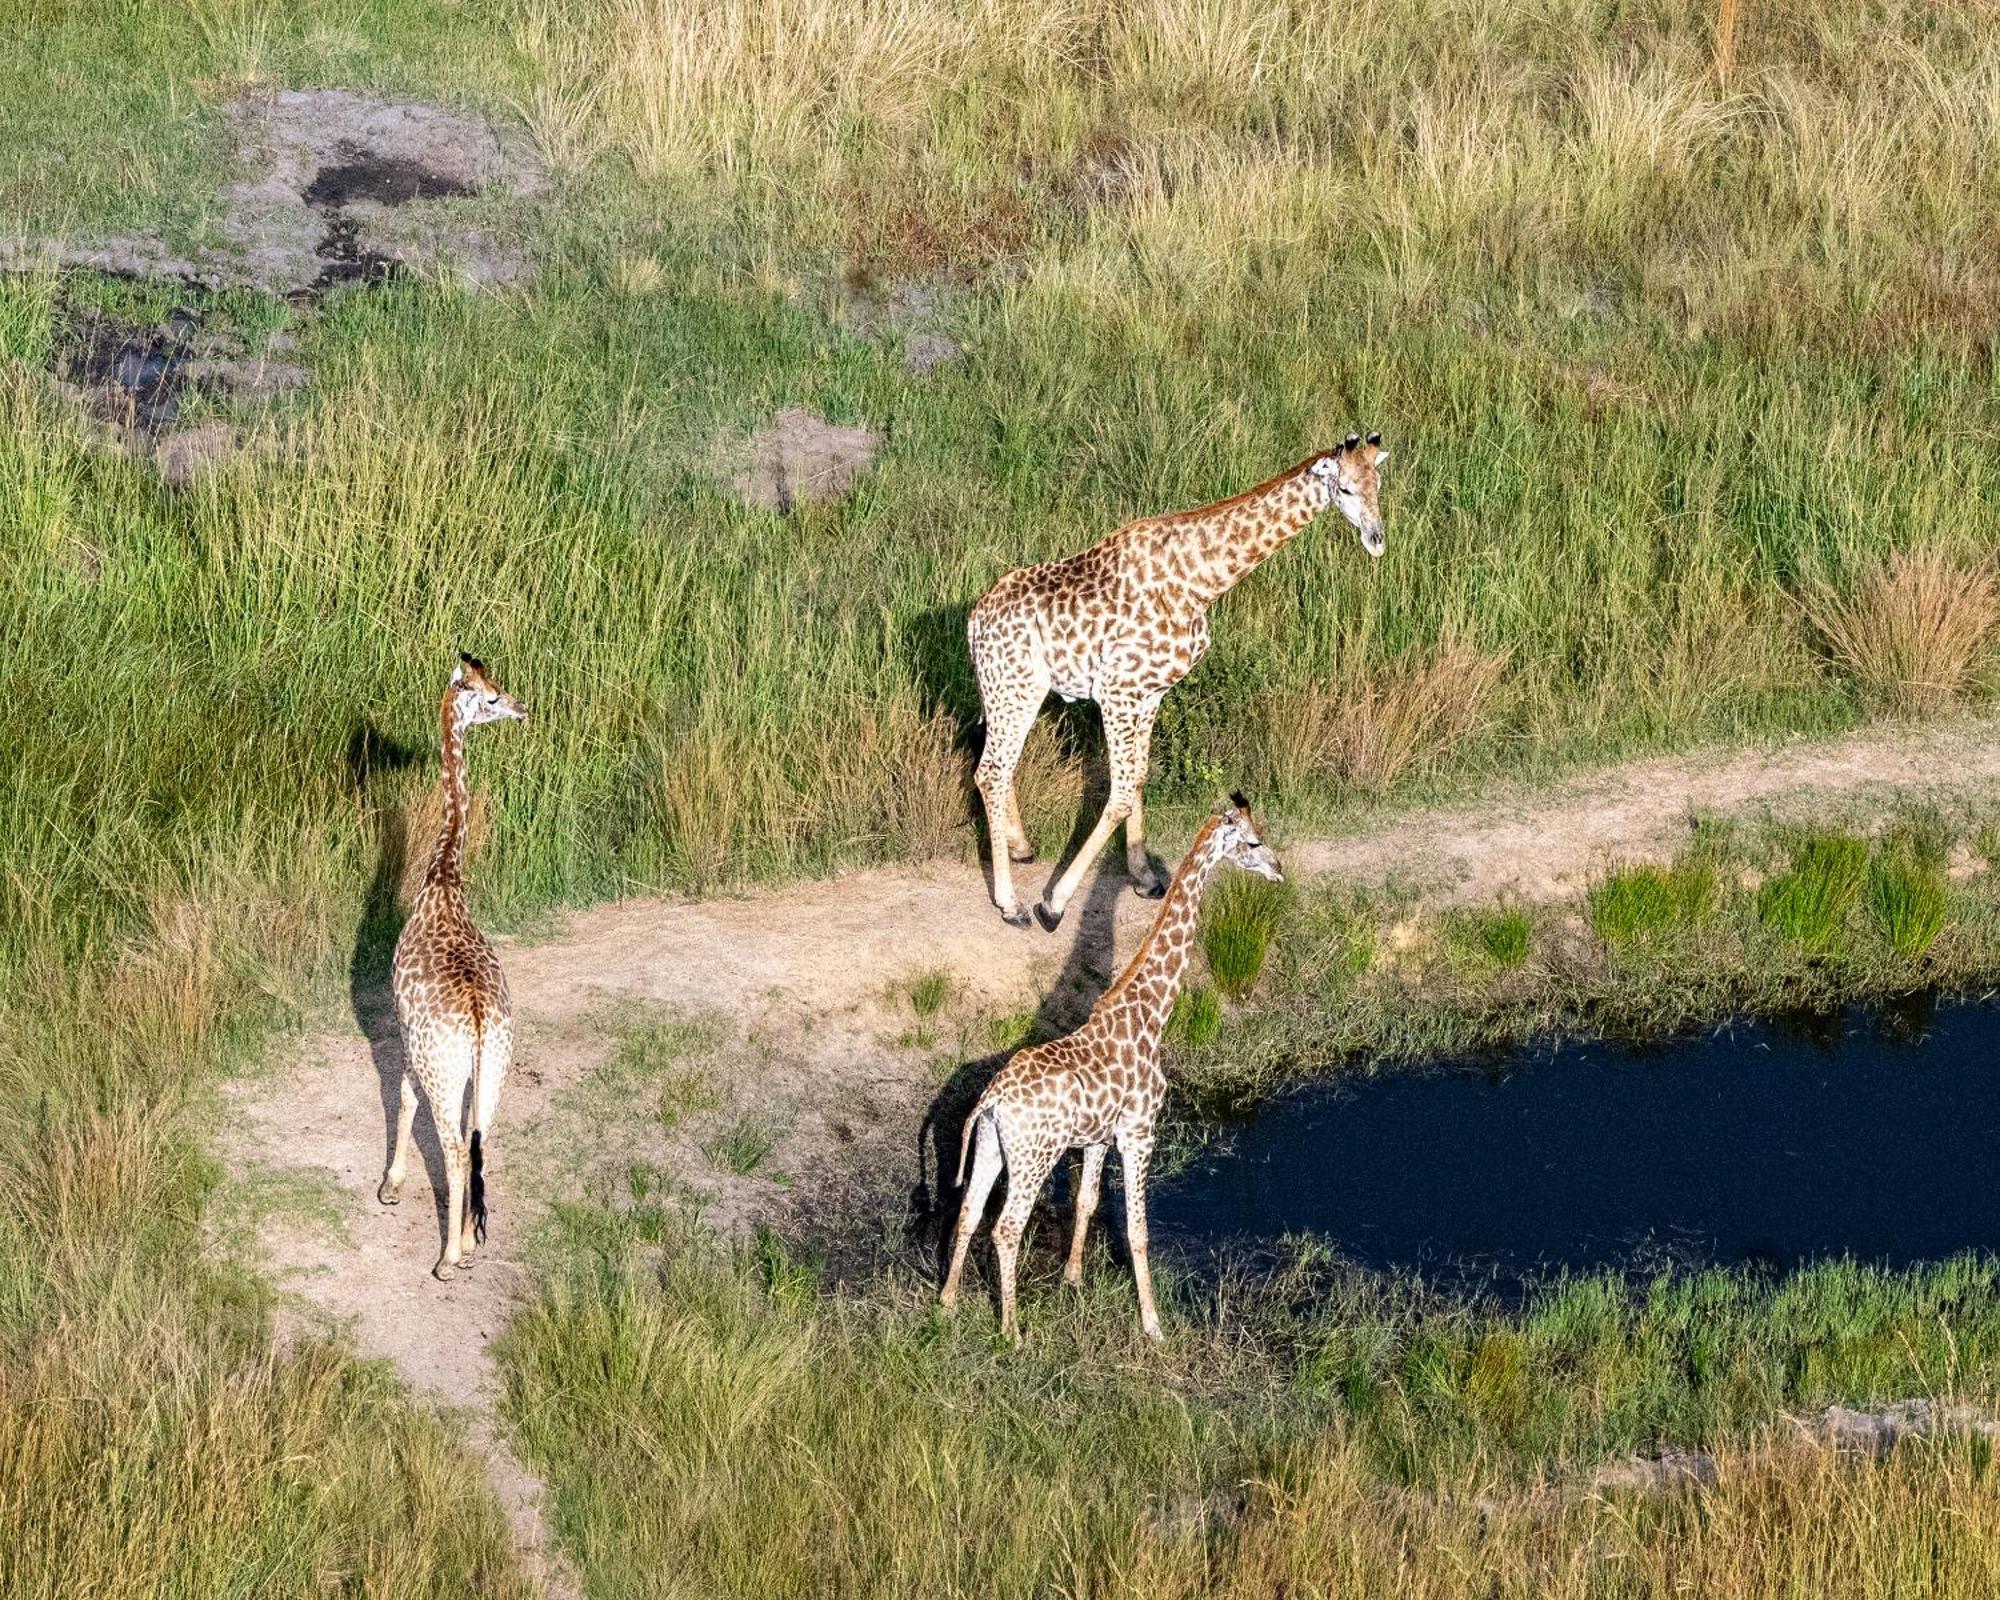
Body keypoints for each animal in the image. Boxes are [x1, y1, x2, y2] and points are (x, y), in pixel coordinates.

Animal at [936, 792, 1280, 1344]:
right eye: (1251, 842)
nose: (1278, 870)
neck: (1152, 1010)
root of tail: (991, 1099)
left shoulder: (1098, 1137)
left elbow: (1087, 1201)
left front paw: (1073, 1277)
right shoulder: (1140, 1133)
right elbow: (1138, 1230)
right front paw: (1153, 1324)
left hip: (991, 1144)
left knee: (969, 1212)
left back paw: (947, 1302)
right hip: (1036, 1156)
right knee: (1005, 1228)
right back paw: (1012, 1330)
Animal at [968, 432, 1392, 932]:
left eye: (1378, 486)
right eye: (1344, 489)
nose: (1376, 541)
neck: (1200, 581)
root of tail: (974, 619)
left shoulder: (1150, 693)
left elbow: (1137, 780)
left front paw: (1144, 877)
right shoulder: (1118, 692)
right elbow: (1120, 790)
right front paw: (1054, 903)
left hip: (1011, 690)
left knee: (999, 764)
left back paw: (1021, 848)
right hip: (1013, 686)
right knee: (991, 771)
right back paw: (1011, 904)